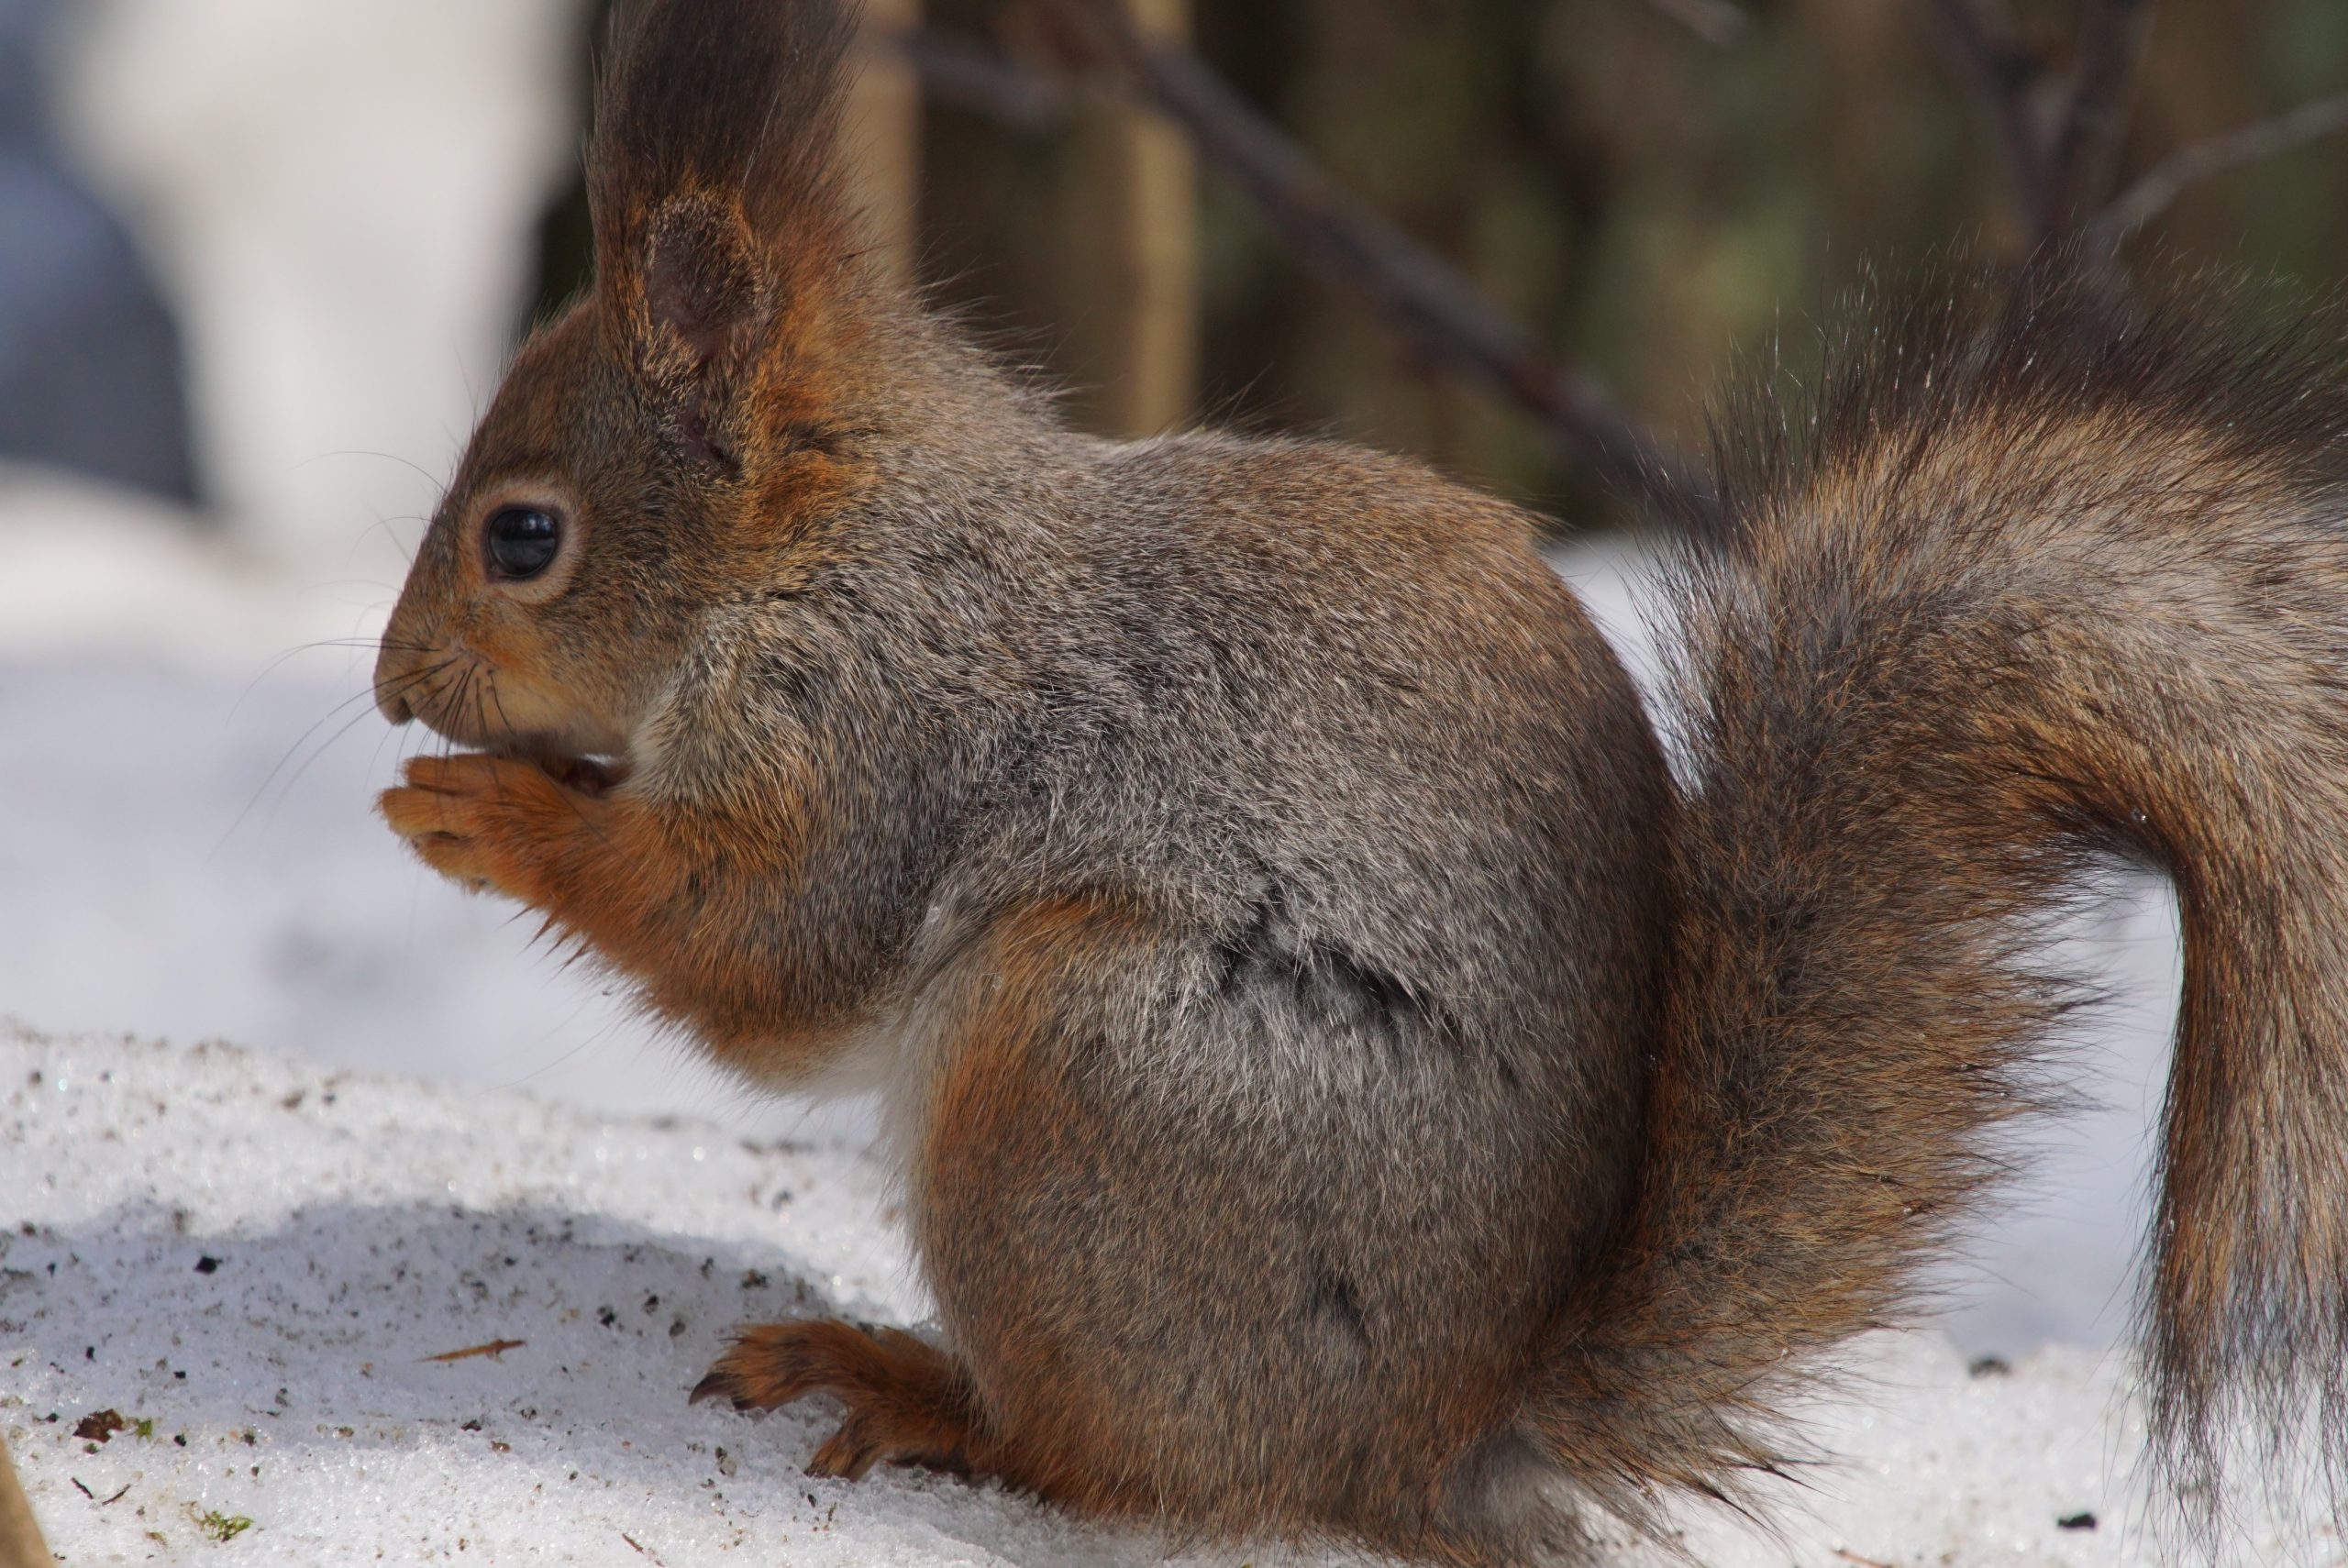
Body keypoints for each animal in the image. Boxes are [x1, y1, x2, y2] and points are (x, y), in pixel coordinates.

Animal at [366, 0, 2348, 1558]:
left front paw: (485, 816)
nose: (391, 689)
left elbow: (759, 946)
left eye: (524, 537)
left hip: (1083, 1079)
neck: (833, 547)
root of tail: (1435, 1432)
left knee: (1109, 1466)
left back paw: (916, 1386)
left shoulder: (876, 733)